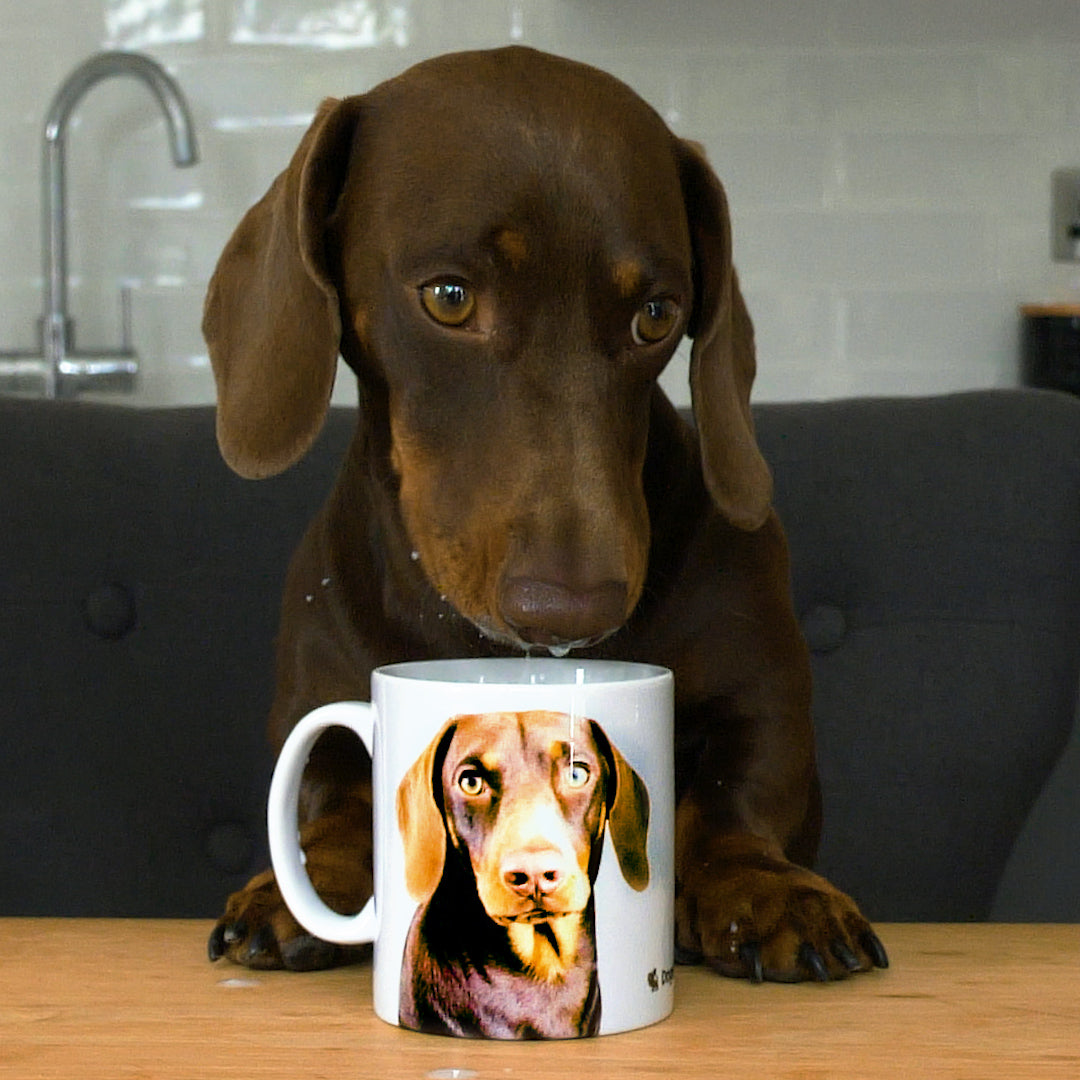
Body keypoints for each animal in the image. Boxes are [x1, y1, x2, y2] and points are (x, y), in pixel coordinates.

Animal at [203, 46, 885, 984]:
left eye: (657, 315)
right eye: (450, 297)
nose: (571, 612)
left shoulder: (765, 698)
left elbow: (737, 798)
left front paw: (766, 886)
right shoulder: (323, 709)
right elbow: (339, 797)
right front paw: (312, 879)